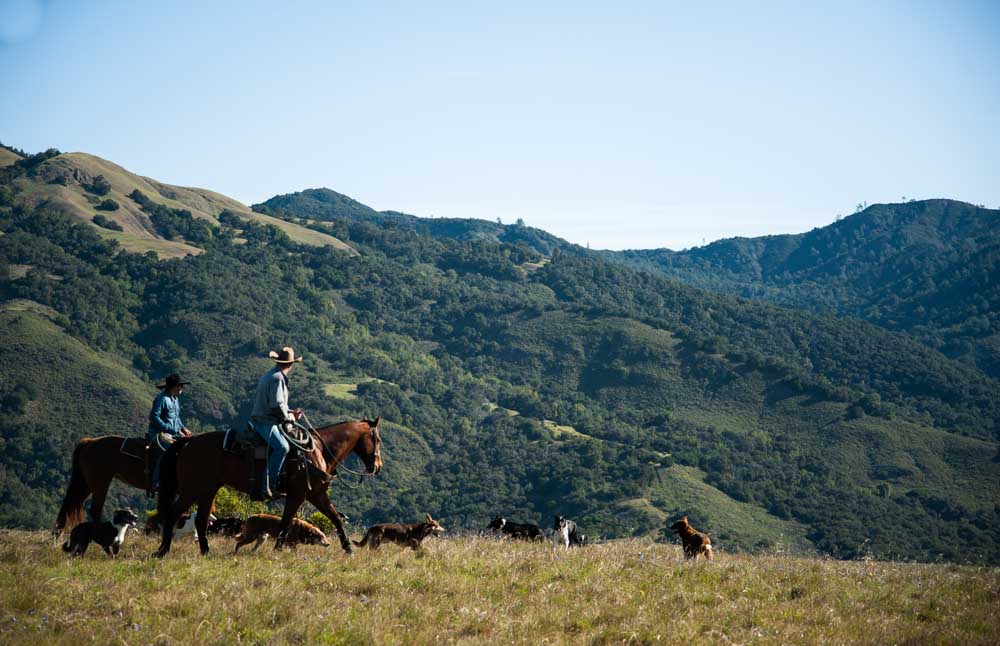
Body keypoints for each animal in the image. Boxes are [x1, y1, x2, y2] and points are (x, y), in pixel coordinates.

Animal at [156, 420, 382, 556]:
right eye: (377, 439)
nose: (377, 467)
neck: (316, 451)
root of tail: (190, 440)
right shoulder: (298, 494)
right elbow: (286, 521)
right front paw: (278, 549)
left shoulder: (316, 494)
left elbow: (335, 518)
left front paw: (348, 549)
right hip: (192, 489)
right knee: (174, 513)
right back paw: (163, 550)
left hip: (208, 490)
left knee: (201, 520)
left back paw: (205, 551)